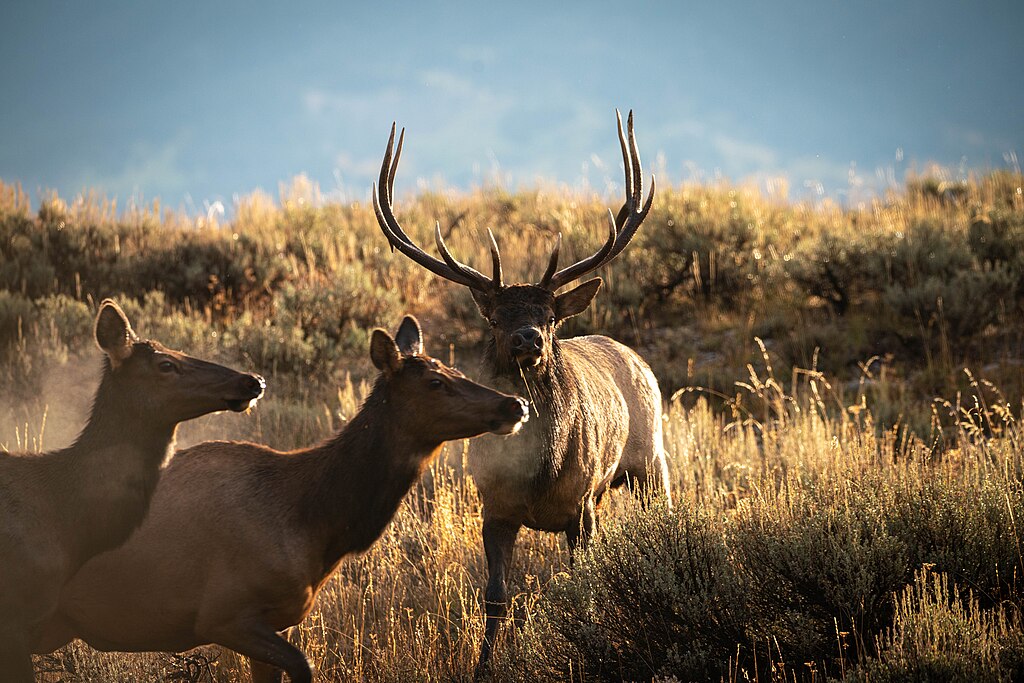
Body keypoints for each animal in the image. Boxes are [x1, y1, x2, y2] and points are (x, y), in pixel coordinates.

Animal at [35, 315, 529, 683]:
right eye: (433, 382)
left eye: (456, 370)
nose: (515, 404)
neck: (313, 523)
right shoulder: (224, 613)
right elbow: (305, 666)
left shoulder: (270, 620)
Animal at [372, 110, 673, 670]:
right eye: (494, 317)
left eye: (550, 316)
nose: (527, 338)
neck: (538, 473)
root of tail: (635, 355)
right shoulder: (494, 507)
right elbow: (495, 597)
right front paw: (483, 666)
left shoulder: (581, 506)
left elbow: (583, 587)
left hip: (650, 462)